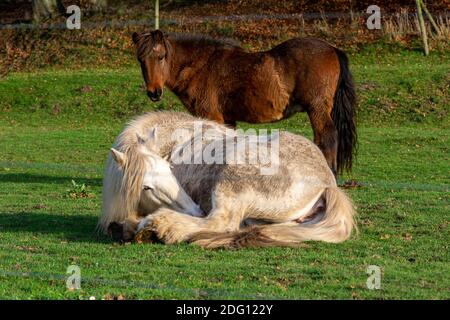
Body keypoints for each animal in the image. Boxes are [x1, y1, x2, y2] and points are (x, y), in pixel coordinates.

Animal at [98, 111, 356, 249]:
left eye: (170, 170)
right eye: (147, 187)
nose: (195, 210)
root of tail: (327, 182)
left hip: (230, 183)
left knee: (220, 222)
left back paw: (161, 226)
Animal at [132, 30, 356, 175]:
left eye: (161, 56)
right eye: (140, 60)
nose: (154, 92)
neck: (200, 66)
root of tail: (332, 49)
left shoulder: (210, 116)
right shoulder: (227, 120)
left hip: (317, 110)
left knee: (327, 138)